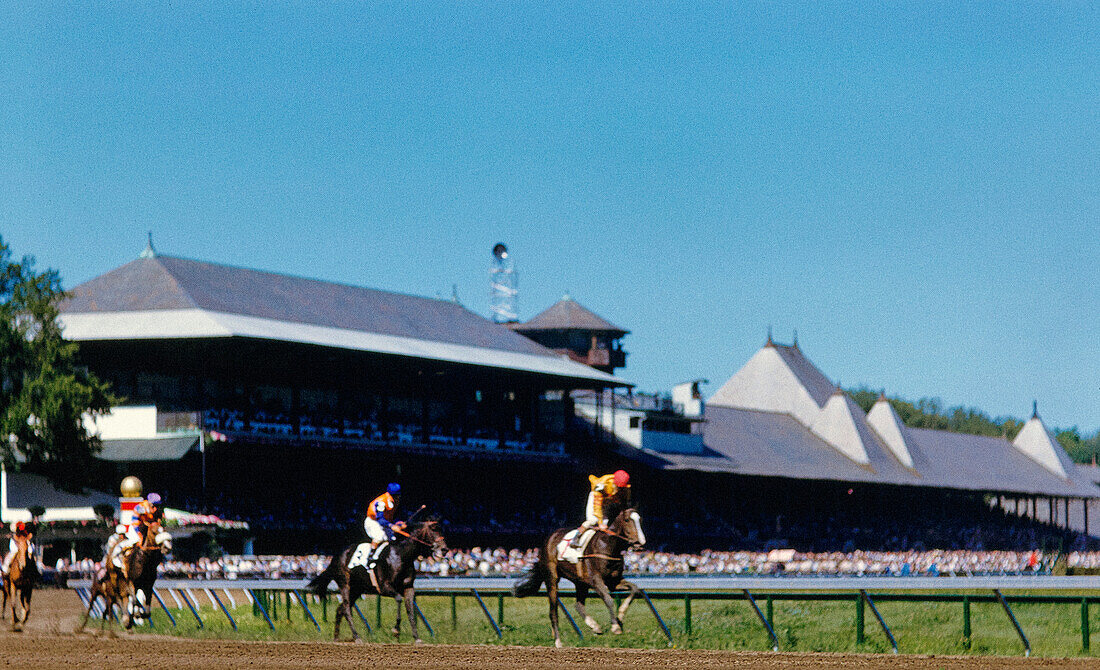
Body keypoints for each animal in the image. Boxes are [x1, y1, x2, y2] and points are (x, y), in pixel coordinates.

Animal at [308, 517, 444, 642]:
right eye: (433, 530)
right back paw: (356, 636)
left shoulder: (408, 587)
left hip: (357, 589)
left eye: (441, 530)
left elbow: (410, 610)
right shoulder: (384, 587)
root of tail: (335, 558)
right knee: (346, 609)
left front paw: (416, 637)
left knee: (340, 609)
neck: (401, 555)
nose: (444, 549)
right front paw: (396, 630)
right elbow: (399, 599)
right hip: (345, 584)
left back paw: (336, 637)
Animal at [512, 510, 642, 646]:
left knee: (578, 605)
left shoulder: (613, 582)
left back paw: (594, 626)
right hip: (552, 578)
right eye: (627, 520)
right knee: (553, 612)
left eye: (640, 520)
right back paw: (558, 642)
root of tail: (546, 542)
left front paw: (620, 617)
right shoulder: (595, 580)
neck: (607, 545)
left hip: (580, 583)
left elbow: (634, 589)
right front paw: (615, 627)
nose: (638, 542)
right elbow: (608, 599)